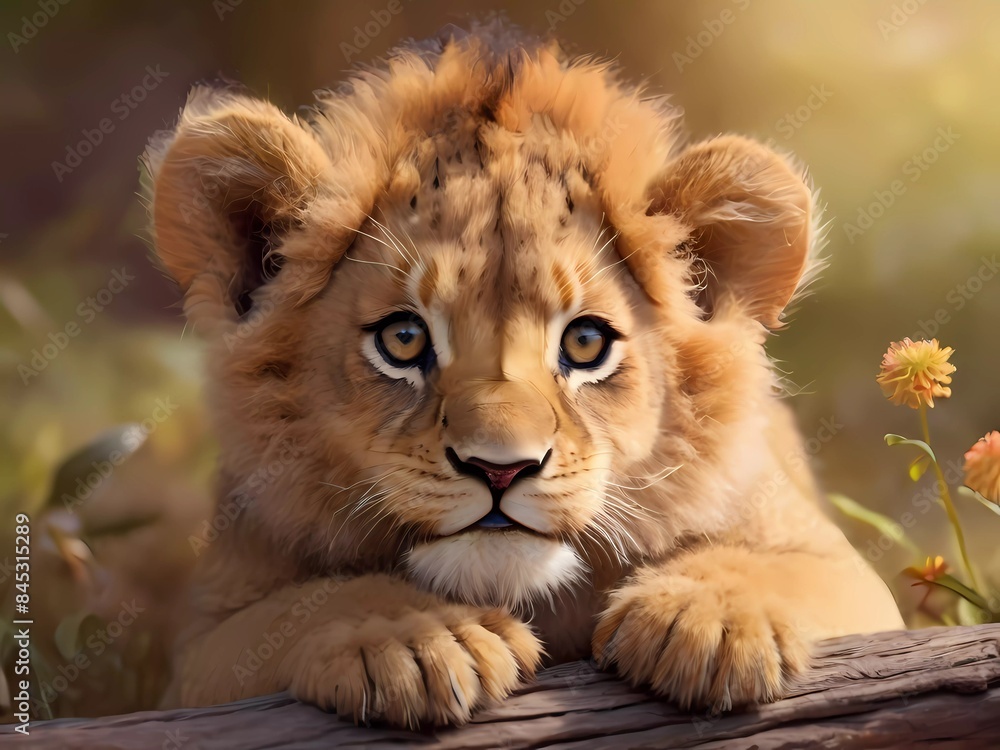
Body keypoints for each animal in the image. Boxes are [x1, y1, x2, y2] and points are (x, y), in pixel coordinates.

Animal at [143, 22, 903, 728]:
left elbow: (784, 571)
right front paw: (419, 640)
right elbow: (306, 606)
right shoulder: (198, 656)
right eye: (403, 338)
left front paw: (708, 620)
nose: (500, 468)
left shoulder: (843, 571)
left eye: (586, 343)